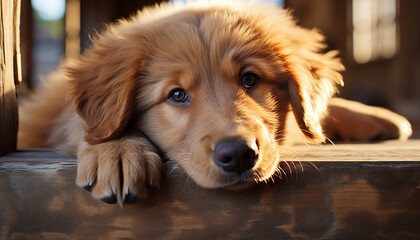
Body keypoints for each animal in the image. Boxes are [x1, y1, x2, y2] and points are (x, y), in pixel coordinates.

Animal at [18, 0, 412, 205]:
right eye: (177, 95)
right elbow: (85, 124)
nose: (237, 155)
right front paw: (116, 150)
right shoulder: (52, 114)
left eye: (250, 79)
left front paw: (378, 117)